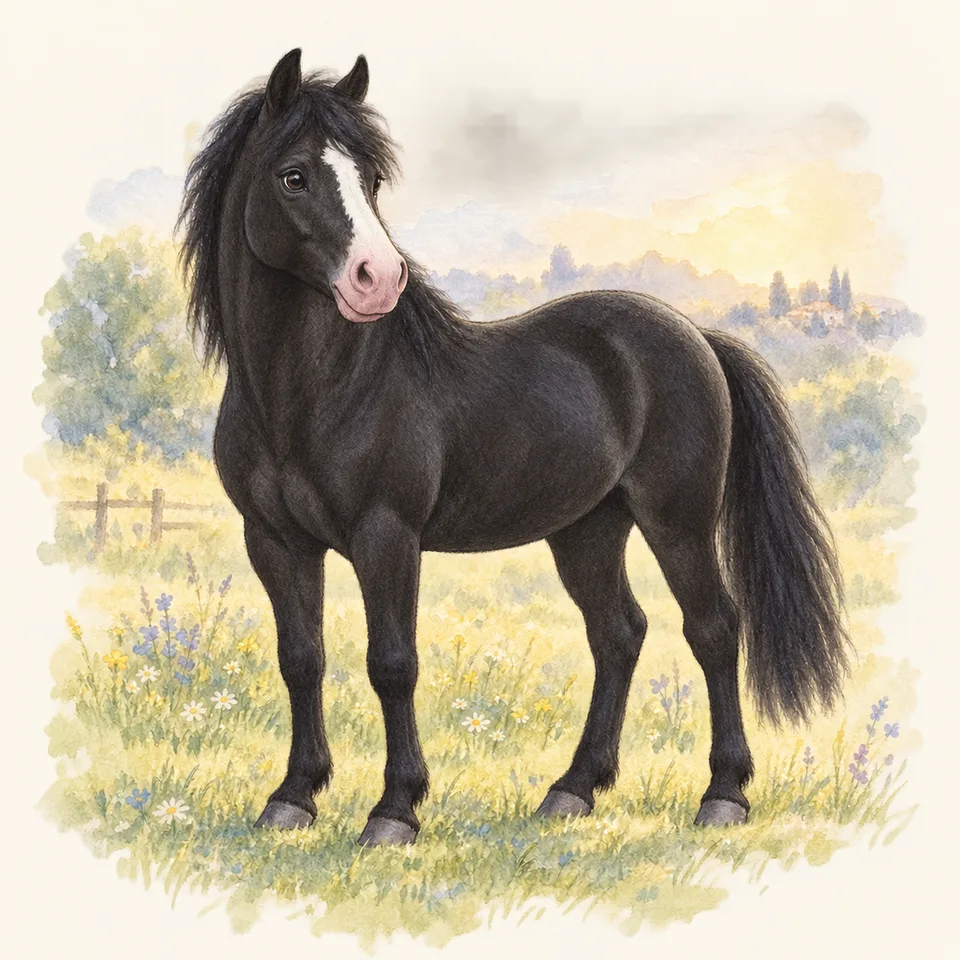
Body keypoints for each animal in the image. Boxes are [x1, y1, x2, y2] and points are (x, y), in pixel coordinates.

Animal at [177, 49, 849, 847]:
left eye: (370, 179)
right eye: (293, 176)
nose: (379, 280)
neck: (312, 392)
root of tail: (697, 337)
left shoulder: (386, 535)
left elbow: (392, 663)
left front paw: (394, 811)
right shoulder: (274, 540)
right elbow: (301, 659)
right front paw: (292, 798)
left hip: (677, 523)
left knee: (713, 629)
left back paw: (723, 795)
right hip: (588, 529)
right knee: (619, 634)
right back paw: (572, 790)